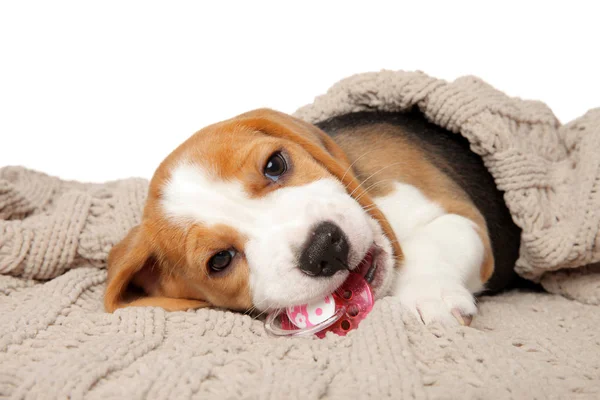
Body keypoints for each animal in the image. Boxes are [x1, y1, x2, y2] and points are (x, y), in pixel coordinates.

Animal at [105, 108, 524, 324]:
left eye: (275, 164)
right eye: (220, 260)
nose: (325, 248)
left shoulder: (460, 216)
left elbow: (433, 242)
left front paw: (428, 294)